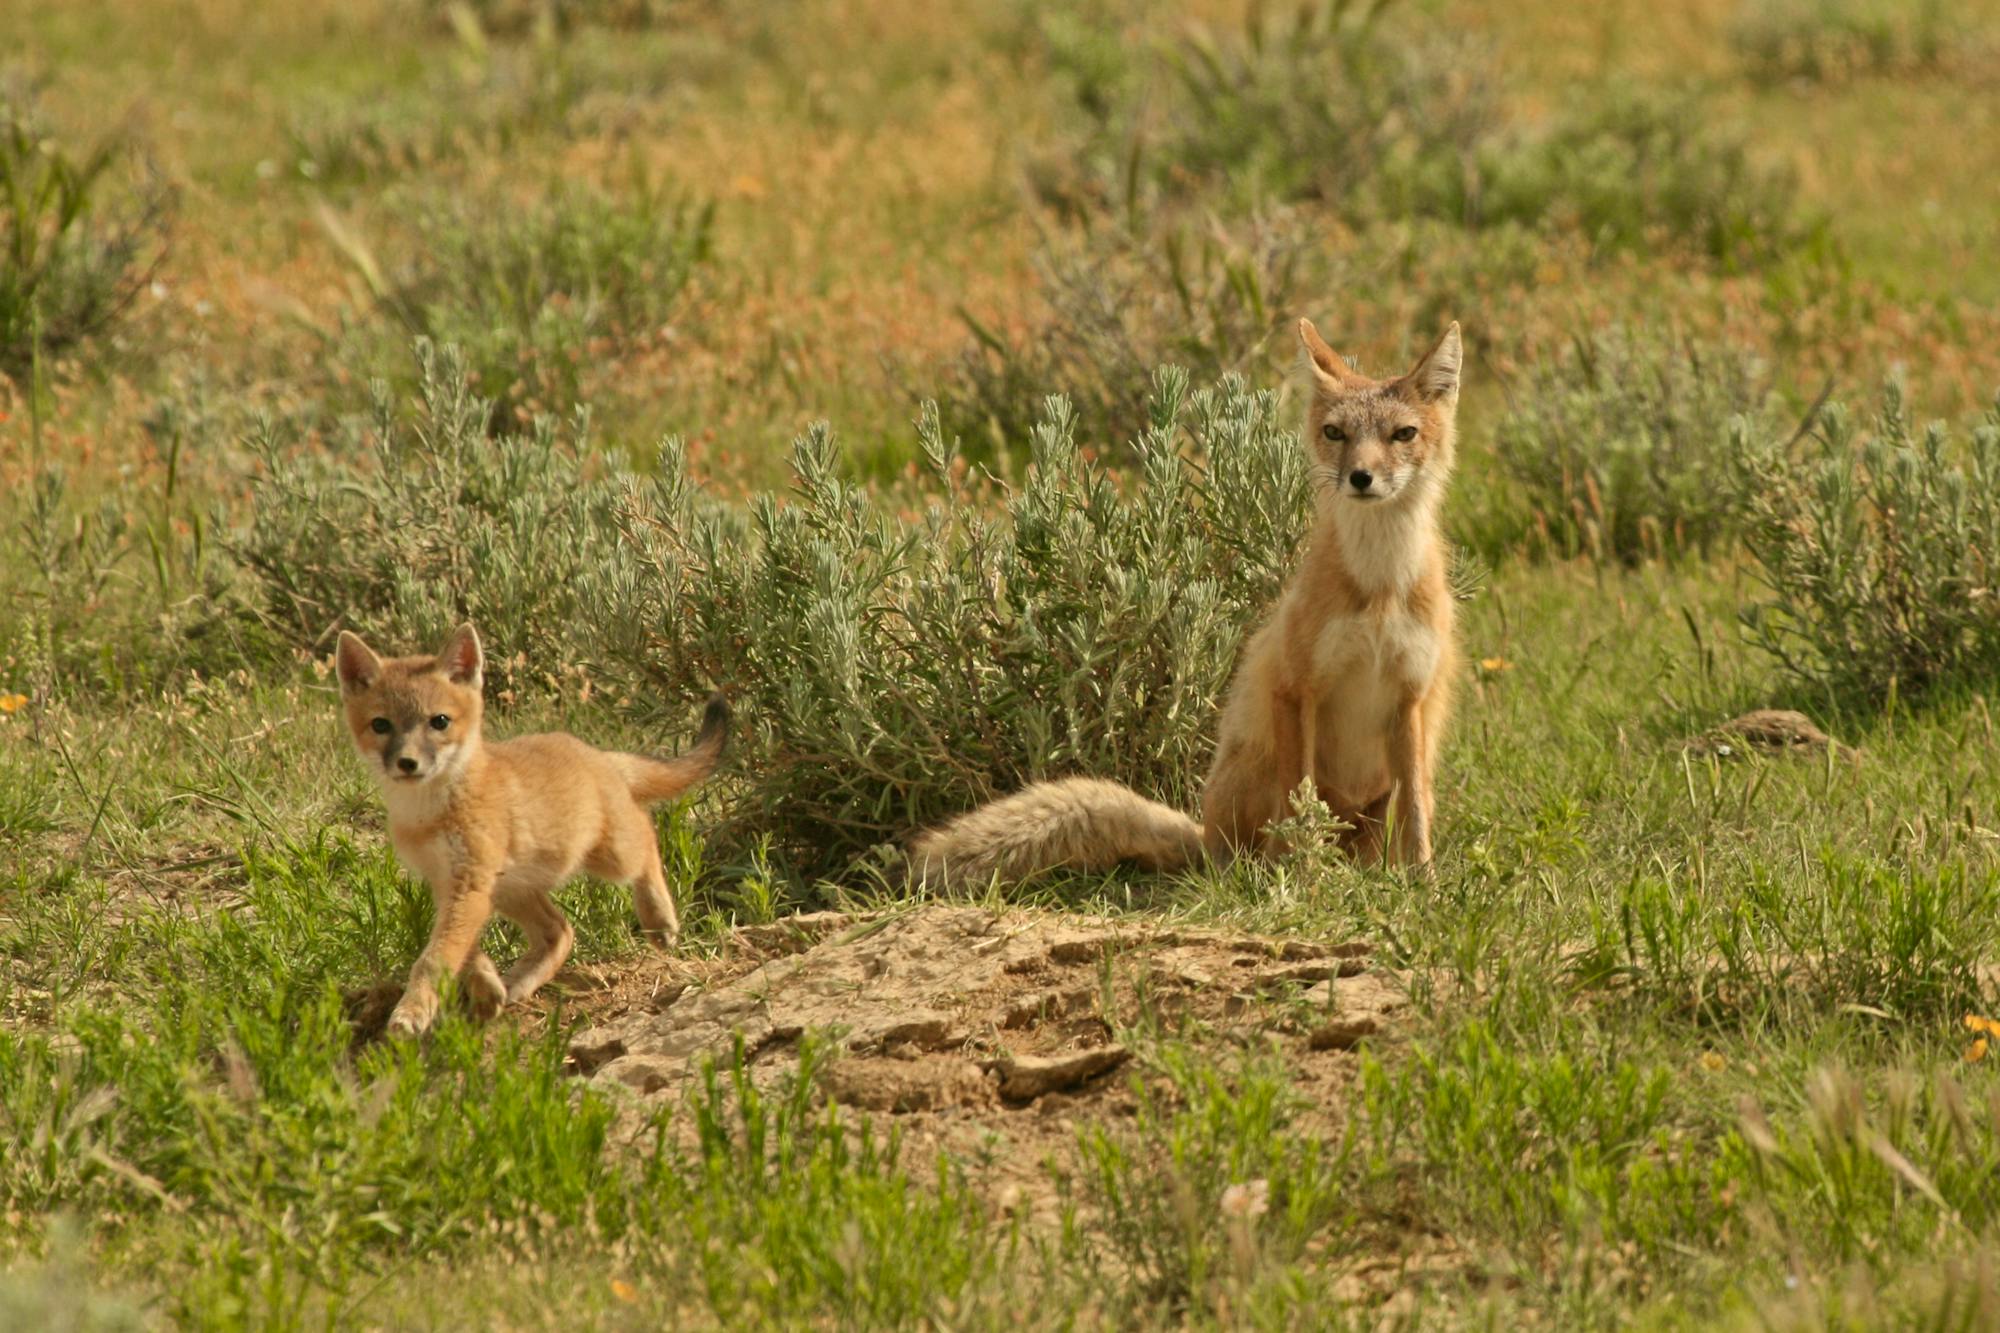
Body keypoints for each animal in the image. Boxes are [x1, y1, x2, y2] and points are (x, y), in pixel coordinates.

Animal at [334, 616, 728, 1032]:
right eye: (381, 725)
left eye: (439, 721)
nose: (407, 763)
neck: (430, 815)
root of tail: (596, 754)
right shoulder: (449, 884)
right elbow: (463, 950)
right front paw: (486, 986)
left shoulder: (469, 884)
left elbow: (435, 957)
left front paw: (412, 1010)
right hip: (513, 890)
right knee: (561, 930)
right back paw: (517, 984)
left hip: (610, 860)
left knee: (647, 834)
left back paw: (659, 919)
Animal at [916, 320, 1464, 880]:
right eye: (1336, 433)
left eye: (1403, 434)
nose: (1361, 477)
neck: (1379, 588)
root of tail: (1206, 838)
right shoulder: (1294, 688)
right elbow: (1300, 804)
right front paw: (1303, 879)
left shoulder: (1411, 696)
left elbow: (1416, 811)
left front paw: (1422, 881)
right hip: (1257, 768)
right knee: (1263, 842)